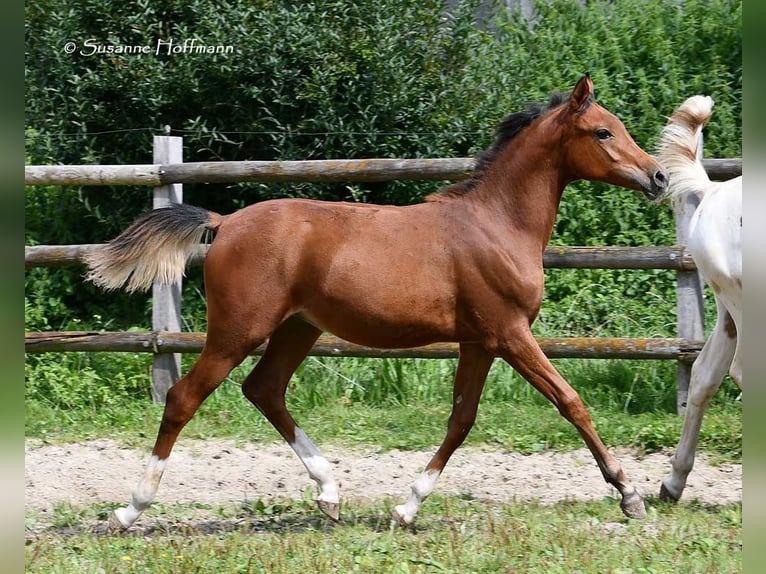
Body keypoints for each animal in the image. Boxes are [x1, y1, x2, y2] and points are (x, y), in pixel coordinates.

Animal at [85, 74, 672, 532]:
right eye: (603, 131)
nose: (659, 177)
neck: (497, 224)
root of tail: (224, 223)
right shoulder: (509, 333)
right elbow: (571, 401)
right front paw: (630, 496)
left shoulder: (479, 341)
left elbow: (461, 419)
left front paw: (406, 508)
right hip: (238, 329)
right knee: (185, 397)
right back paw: (130, 509)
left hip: (298, 328)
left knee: (264, 389)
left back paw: (329, 493)